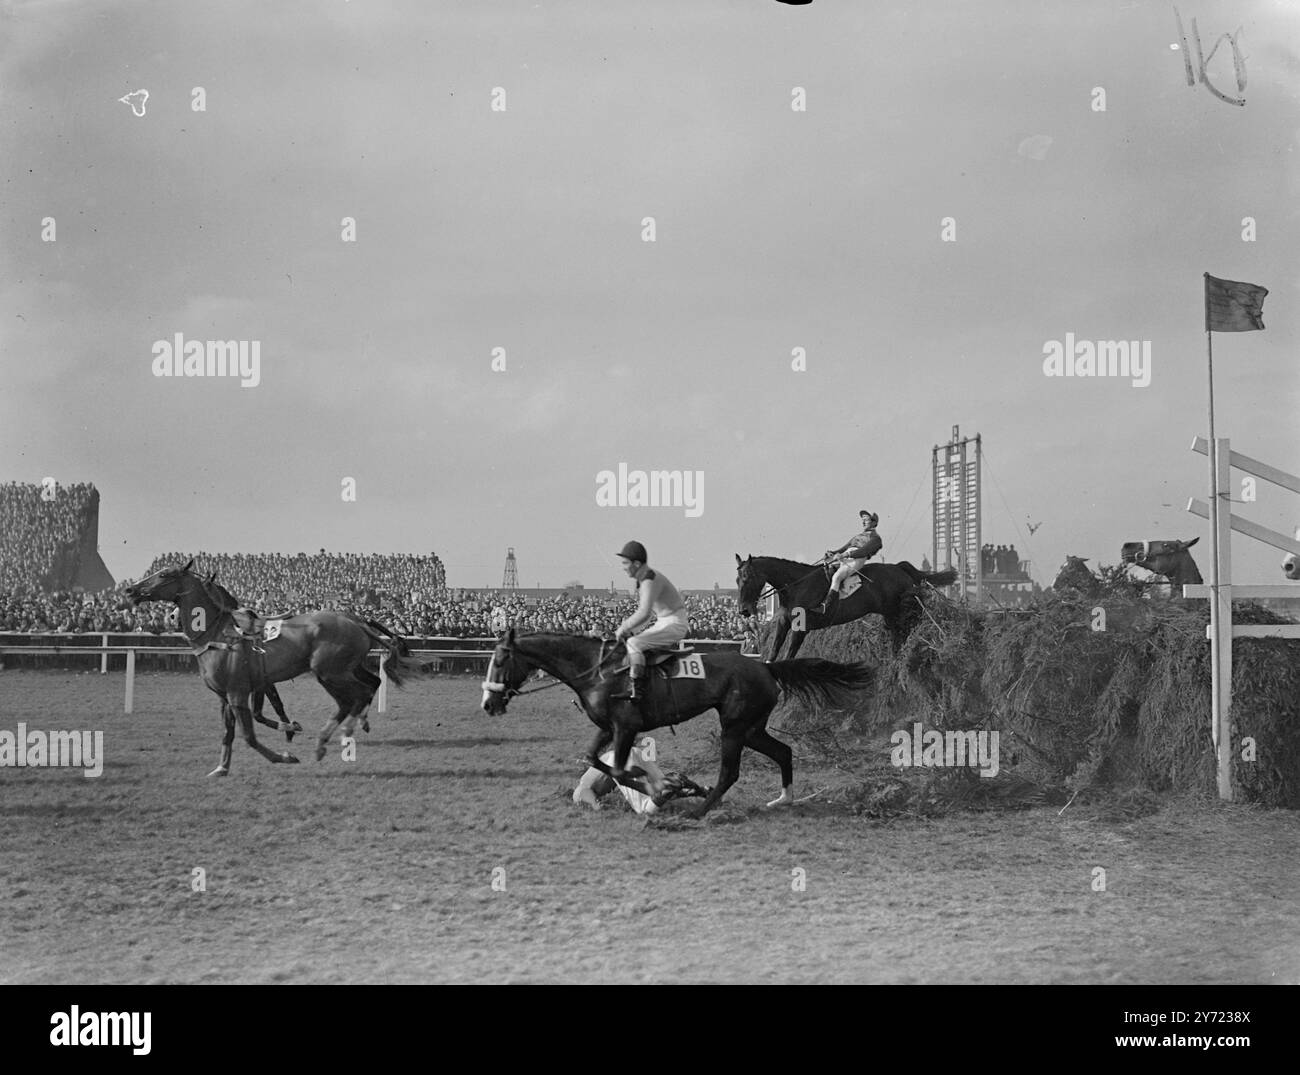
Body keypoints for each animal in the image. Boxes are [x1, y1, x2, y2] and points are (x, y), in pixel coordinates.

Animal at [125, 564, 421, 774]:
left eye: (164, 574)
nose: (130, 590)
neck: (217, 634)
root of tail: (356, 622)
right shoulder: (227, 695)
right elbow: (229, 732)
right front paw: (221, 767)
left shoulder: (239, 691)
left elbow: (249, 734)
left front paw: (285, 753)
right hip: (344, 670)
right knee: (366, 688)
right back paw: (343, 732)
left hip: (330, 672)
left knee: (356, 696)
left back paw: (339, 736)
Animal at [480, 626, 873, 821]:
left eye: (499, 661)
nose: (488, 703)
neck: (596, 670)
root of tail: (766, 665)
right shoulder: (608, 728)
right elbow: (592, 759)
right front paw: (666, 785)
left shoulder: (626, 728)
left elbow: (621, 770)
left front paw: (661, 789)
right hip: (752, 728)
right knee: (783, 752)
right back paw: (782, 800)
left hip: (734, 727)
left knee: (729, 772)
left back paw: (699, 811)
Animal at [738, 553, 961, 665]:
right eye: (737, 580)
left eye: (747, 578)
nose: (743, 611)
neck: (796, 586)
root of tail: (899, 567)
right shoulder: (784, 623)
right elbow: (774, 650)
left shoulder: (801, 628)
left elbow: (788, 654)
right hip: (890, 615)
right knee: (897, 636)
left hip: (902, 610)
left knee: (910, 626)